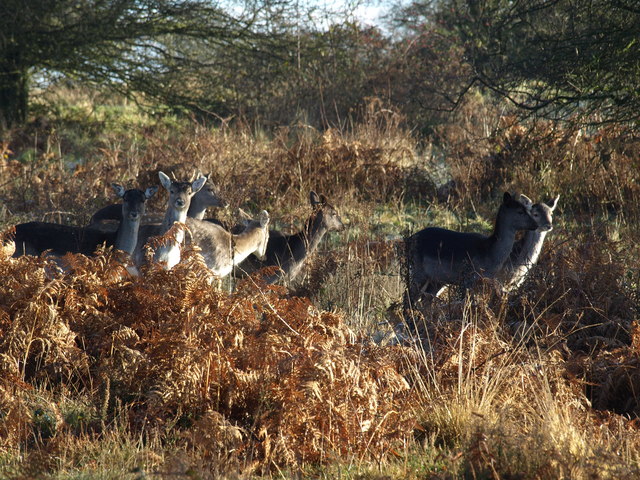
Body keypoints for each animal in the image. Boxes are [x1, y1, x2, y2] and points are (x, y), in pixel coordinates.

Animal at [404, 191, 540, 308]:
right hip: (418, 271)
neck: (490, 253)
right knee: (409, 297)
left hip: (436, 280)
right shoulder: (467, 278)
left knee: (425, 301)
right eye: (520, 211)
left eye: (529, 210)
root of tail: (409, 240)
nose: (536, 224)